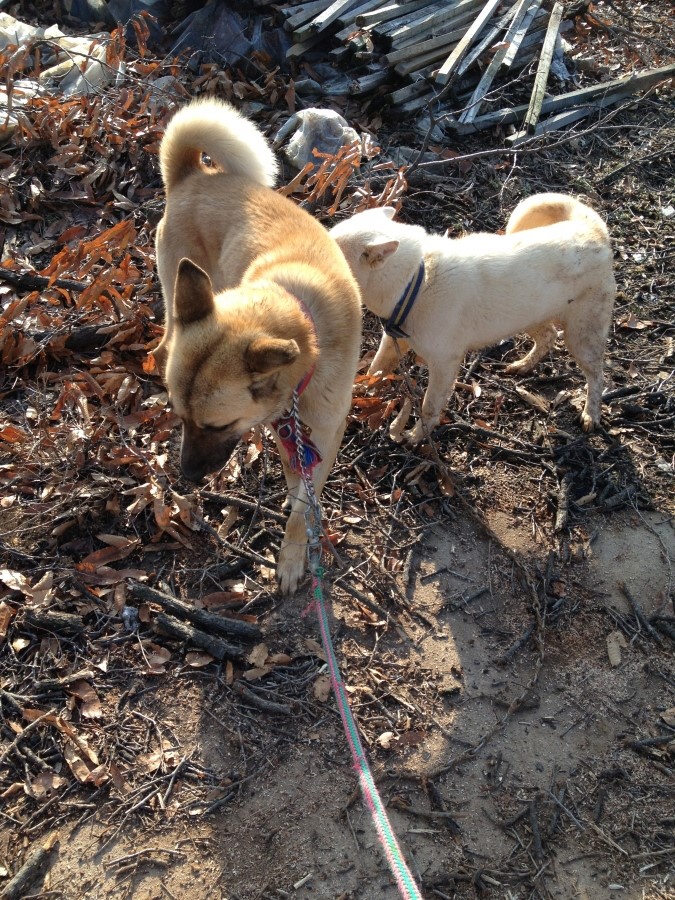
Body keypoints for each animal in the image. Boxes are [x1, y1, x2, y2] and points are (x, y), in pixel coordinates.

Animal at [154, 97, 362, 595]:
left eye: (217, 425)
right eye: (181, 417)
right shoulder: (288, 427)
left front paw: (293, 550)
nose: (186, 475)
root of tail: (193, 175)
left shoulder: (321, 432)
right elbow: (296, 484)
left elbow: (302, 503)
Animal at [330, 193, 615, 443]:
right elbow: (375, 370)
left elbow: (429, 406)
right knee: (548, 337)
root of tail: (593, 229)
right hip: (529, 318)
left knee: (597, 375)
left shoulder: (445, 363)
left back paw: (591, 414)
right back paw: (523, 366)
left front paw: (415, 436)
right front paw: (359, 392)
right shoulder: (393, 341)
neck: (417, 280)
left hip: (582, 337)